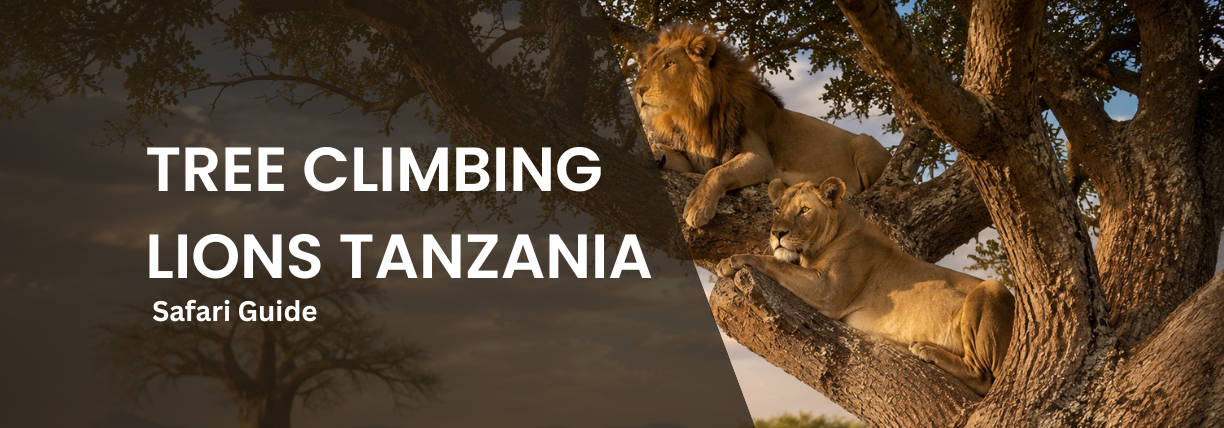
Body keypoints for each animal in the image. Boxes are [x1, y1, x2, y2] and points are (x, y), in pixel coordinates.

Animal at [634, 23, 891, 228]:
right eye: (646, 67)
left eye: (669, 64)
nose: (638, 90)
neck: (691, 118)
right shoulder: (692, 161)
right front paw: (654, 151)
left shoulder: (760, 160)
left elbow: (717, 172)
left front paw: (698, 206)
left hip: (864, 143)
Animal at [715, 177, 1016, 395]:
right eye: (778, 209)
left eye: (804, 210)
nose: (777, 233)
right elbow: (781, 262)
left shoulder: (828, 290)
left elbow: (777, 263)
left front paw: (732, 259)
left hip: (991, 289)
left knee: (984, 377)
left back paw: (927, 349)